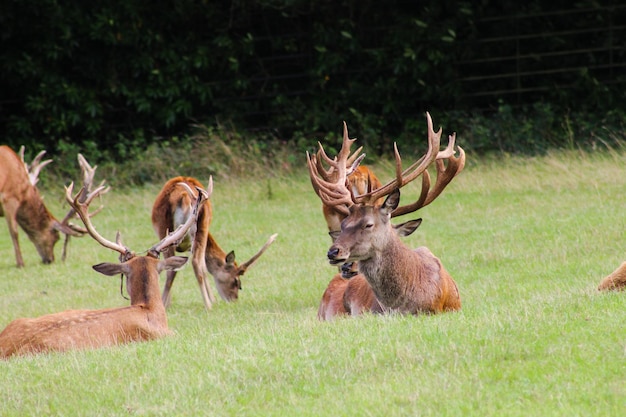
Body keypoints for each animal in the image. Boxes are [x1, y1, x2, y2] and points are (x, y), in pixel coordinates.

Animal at [150, 176, 276, 308]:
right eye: (236, 281)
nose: (234, 300)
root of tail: (184, 196)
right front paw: (213, 300)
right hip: (193, 226)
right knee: (192, 264)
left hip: (177, 227)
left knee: (186, 266)